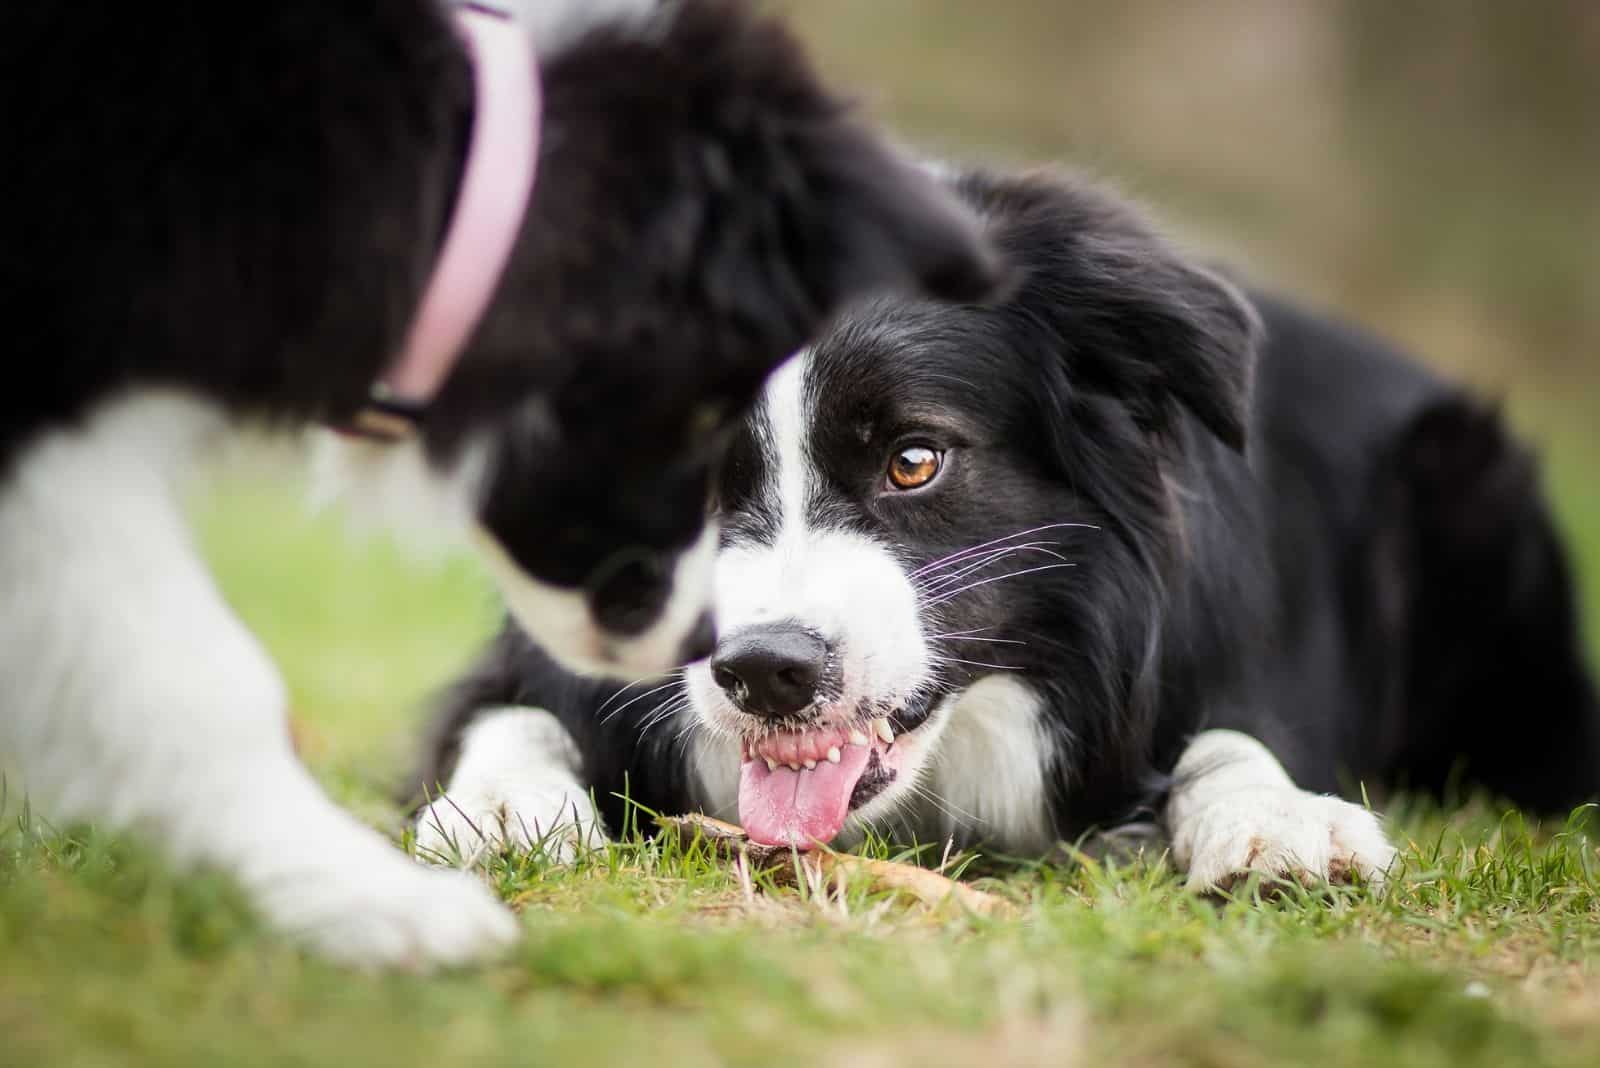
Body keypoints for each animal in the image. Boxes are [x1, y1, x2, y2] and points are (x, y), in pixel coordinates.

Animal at [416, 163, 1600, 888]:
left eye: (913, 460)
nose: (765, 673)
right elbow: (512, 714)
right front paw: (502, 808)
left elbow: (1233, 736)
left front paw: (1278, 819)